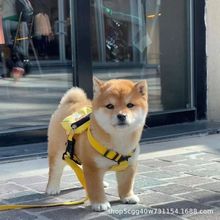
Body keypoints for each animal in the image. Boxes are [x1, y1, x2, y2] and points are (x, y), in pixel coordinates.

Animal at [46, 78, 148, 211]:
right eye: (110, 106)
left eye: (130, 105)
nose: (121, 115)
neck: (119, 141)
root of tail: (70, 102)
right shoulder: (92, 167)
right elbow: (95, 188)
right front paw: (100, 203)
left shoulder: (129, 165)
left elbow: (126, 184)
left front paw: (128, 197)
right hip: (58, 152)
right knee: (55, 170)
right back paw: (52, 188)